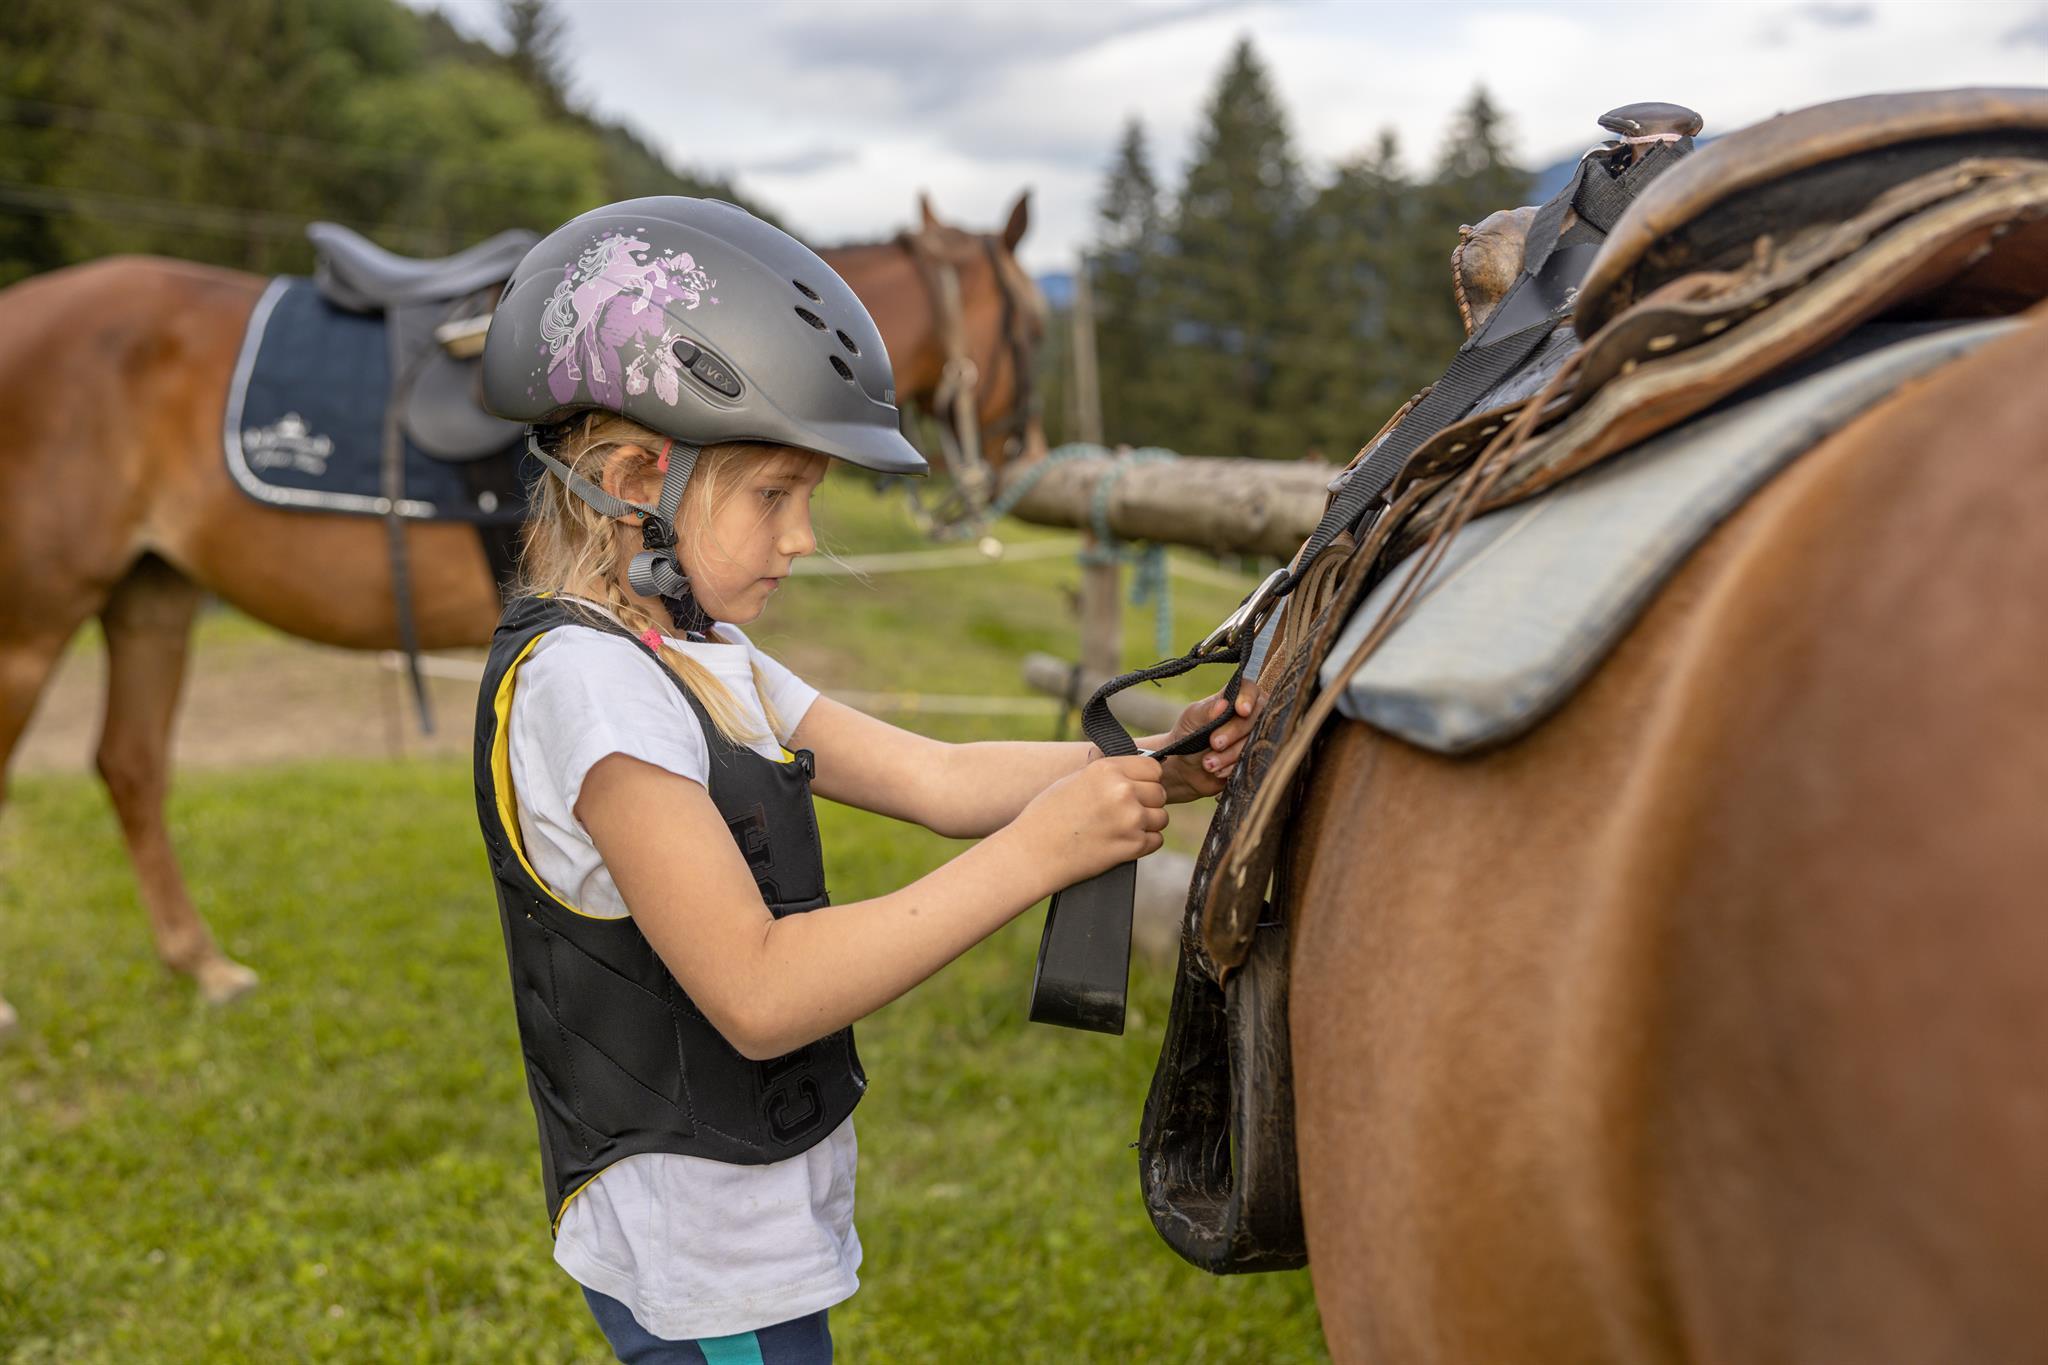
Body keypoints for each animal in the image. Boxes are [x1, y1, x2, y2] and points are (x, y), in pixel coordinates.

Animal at [0, 192, 1045, 1040]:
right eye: (1034, 327)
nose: (1024, 464)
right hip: (36, 618)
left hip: (152, 596)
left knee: (131, 765)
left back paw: (202, 963)